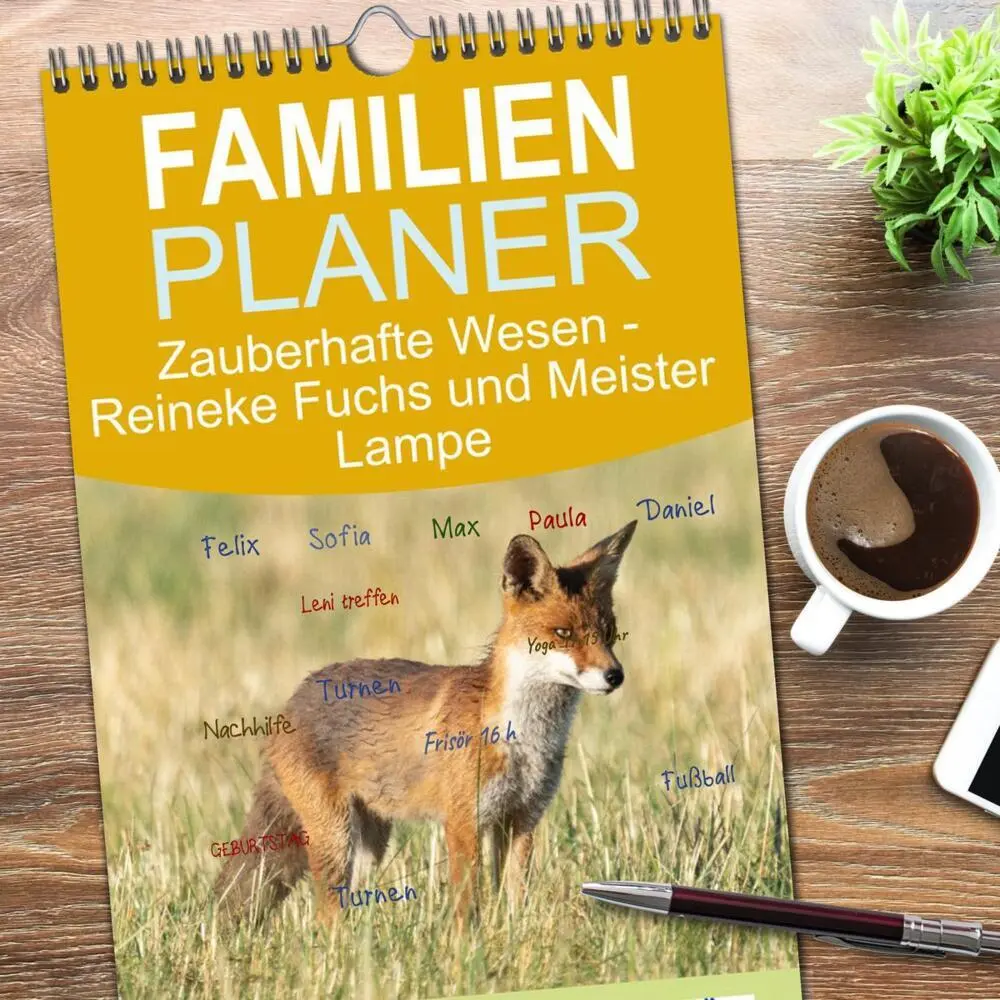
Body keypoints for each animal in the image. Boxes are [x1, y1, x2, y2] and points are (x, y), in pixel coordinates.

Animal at [214, 519, 636, 925]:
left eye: (609, 632)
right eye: (563, 633)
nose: (615, 676)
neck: (523, 738)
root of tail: (291, 701)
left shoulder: (521, 819)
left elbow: (516, 900)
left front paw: (518, 939)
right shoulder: (463, 821)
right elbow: (468, 906)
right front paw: (466, 947)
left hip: (370, 844)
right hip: (336, 837)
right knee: (324, 919)